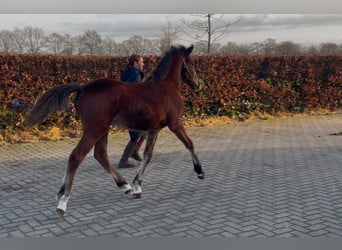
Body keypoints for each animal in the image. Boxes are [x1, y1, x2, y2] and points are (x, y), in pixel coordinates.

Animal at [26, 45, 206, 217]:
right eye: (191, 63)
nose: (197, 84)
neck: (166, 87)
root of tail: (83, 88)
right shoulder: (175, 124)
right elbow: (189, 144)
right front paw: (199, 172)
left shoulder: (154, 129)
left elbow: (147, 156)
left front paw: (137, 186)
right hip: (94, 129)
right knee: (77, 156)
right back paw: (62, 202)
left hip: (102, 129)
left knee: (100, 154)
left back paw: (124, 186)